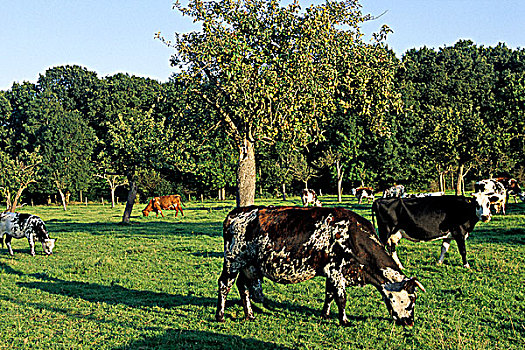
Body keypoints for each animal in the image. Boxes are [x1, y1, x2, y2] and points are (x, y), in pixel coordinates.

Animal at [215, 206, 424, 326]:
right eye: (412, 299)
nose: (410, 322)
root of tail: (234, 214)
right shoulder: (337, 270)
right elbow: (341, 297)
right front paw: (344, 321)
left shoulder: (331, 272)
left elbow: (329, 294)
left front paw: (325, 314)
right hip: (233, 261)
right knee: (224, 285)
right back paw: (220, 315)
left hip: (249, 266)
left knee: (243, 286)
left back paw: (249, 315)